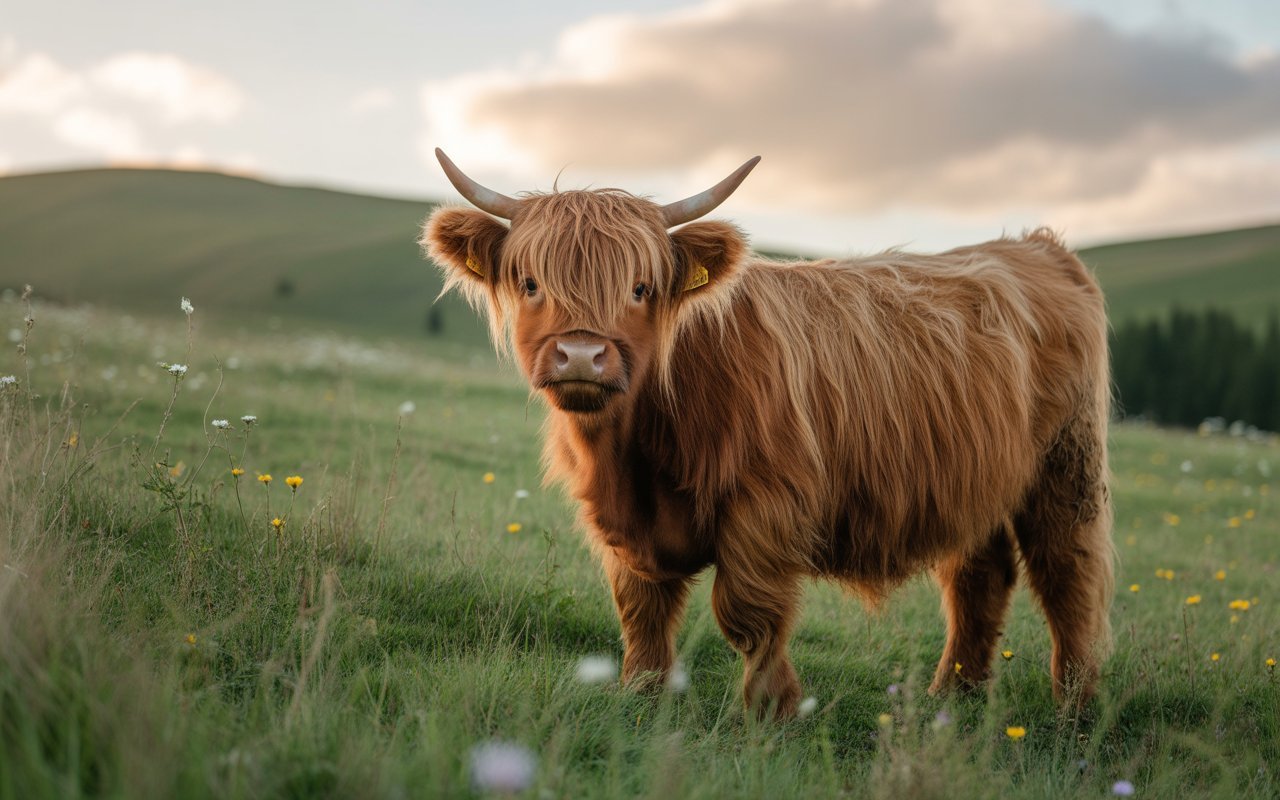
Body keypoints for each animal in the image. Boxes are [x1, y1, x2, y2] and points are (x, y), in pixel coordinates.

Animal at [422, 150, 1114, 717]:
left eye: (641, 288)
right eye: (531, 282)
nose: (582, 357)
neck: (635, 457)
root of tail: (1034, 247)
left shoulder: (765, 508)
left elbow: (748, 614)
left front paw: (770, 711)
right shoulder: (625, 527)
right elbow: (642, 612)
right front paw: (640, 697)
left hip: (1067, 465)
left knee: (1067, 574)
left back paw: (1073, 711)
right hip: (974, 477)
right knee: (979, 574)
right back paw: (954, 698)